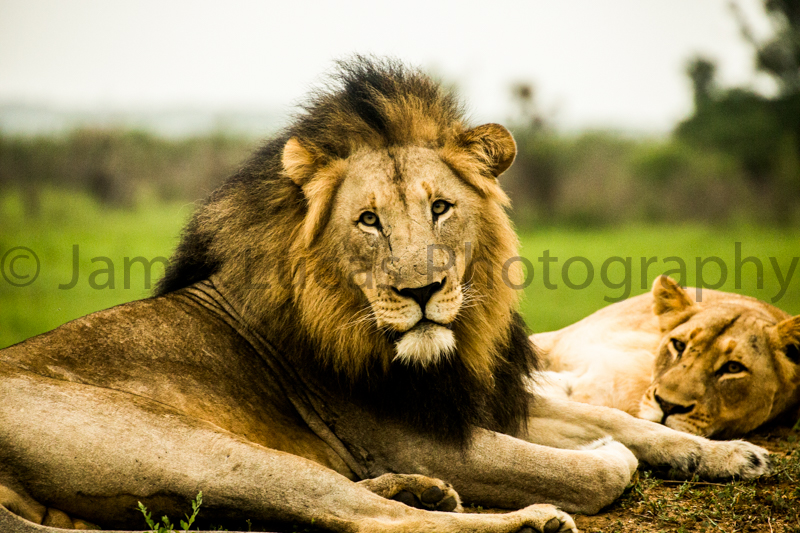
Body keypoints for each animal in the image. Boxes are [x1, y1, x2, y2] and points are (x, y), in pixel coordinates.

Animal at [0, 58, 773, 533]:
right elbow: (587, 469)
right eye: (368, 221)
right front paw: (606, 457)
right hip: (197, 449)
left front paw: (729, 454)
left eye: (440, 208)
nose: (423, 289)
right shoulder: (413, 436)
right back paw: (521, 518)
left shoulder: (476, 398)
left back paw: (416, 488)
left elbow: (631, 421)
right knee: (364, 518)